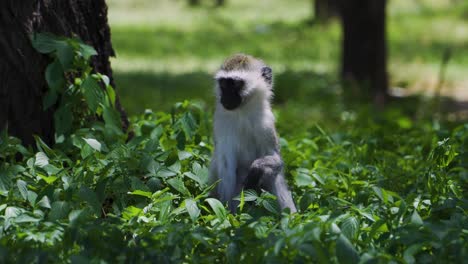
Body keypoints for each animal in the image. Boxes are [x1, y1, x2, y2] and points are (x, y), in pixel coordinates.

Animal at [208, 54, 296, 213]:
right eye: (223, 84)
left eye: (235, 84)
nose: (226, 97)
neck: (243, 111)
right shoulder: (220, 122)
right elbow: (226, 168)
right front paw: (228, 215)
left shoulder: (266, 122)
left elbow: (277, 160)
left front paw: (257, 168)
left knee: (273, 176)